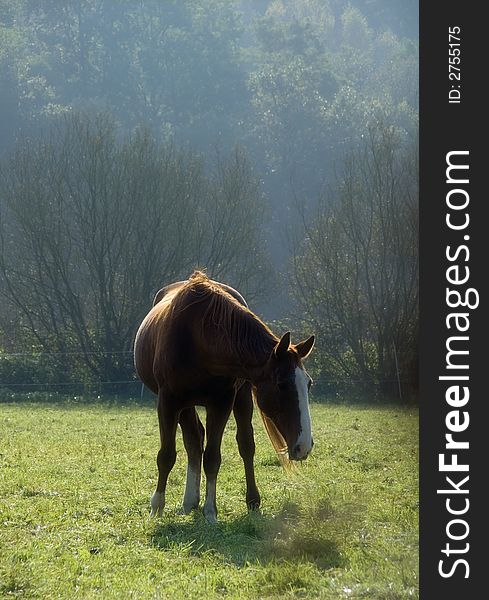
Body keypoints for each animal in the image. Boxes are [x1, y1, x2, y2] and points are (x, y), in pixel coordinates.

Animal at [133, 270, 314, 524]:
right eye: (282, 384)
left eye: (308, 383)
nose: (304, 446)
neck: (198, 338)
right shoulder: (168, 403)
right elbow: (166, 456)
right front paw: (156, 507)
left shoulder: (221, 403)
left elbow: (212, 458)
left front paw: (210, 511)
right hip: (184, 405)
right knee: (193, 439)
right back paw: (189, 501)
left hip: (241, 397)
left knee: (244, 444)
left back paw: (250, 500)